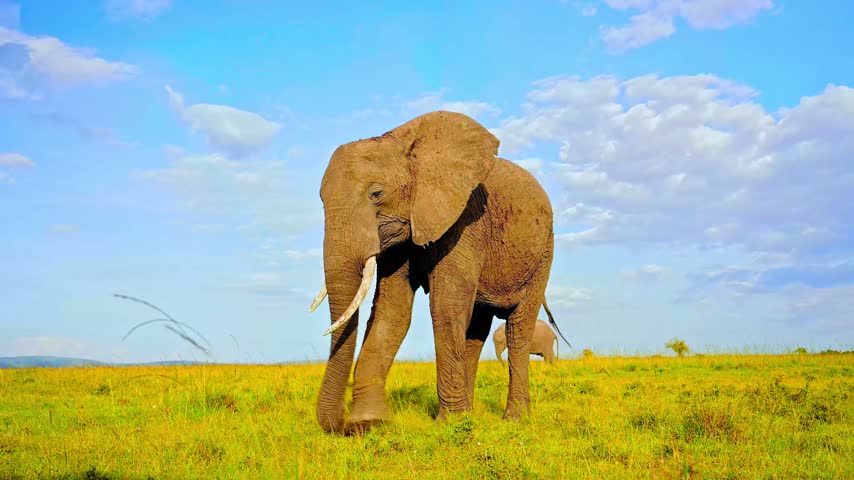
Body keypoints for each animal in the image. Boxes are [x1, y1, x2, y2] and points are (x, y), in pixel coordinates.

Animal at [307, 110, 567, 434]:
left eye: (376, 194)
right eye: (320, 200)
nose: (341, 427)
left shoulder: (465, 221)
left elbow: (445, 306)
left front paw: (448, 424)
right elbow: (392, 312)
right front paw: (370, 423)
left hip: (543, 253)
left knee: (518, 327)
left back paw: (513, 420)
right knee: (476, 329)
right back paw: (471, 415)